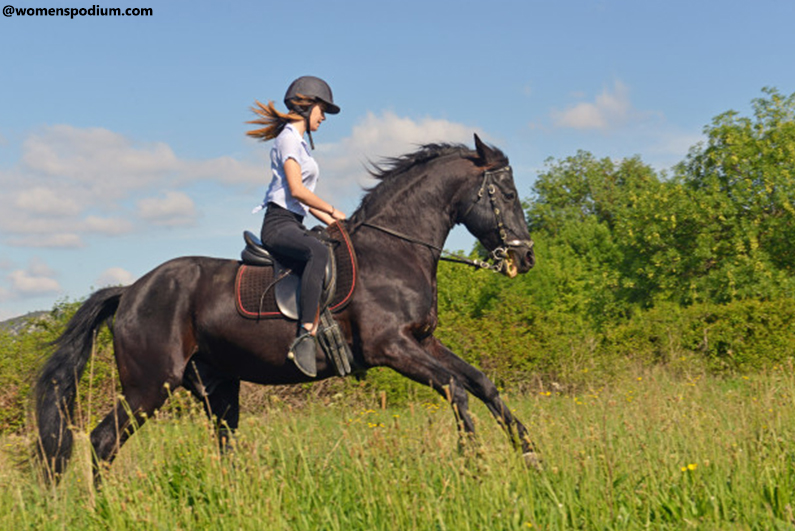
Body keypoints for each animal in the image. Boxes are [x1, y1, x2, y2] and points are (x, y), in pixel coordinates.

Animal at [34, 134, 536, 482]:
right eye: (508, 195)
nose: (526, 257)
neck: (394, 250)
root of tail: (131, 290)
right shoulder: (390, 347)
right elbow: (456, 388)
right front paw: (474, 463)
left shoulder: (422, 340)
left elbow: (481, 384)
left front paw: (529, 453)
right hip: (149, 386)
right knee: (102, 441)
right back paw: (103, 506)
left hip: (216, 387)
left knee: (222, 444)